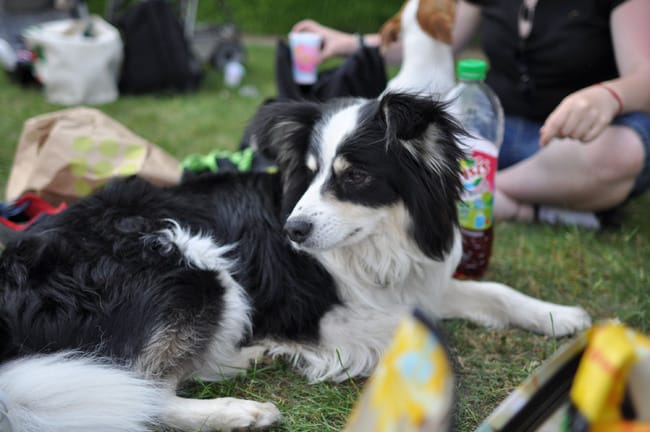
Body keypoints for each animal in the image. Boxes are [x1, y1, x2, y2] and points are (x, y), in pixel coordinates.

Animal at [0, 92, 591, 432]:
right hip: (189, 263)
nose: (292, 231)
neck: (372, 245)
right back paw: (239, 411)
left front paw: (561, 316)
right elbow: (403, 331)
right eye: (308, 173)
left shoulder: (415, 278)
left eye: (354, 175)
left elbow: (492, 293)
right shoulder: (326, 314)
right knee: (138, 393)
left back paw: (247, 356)